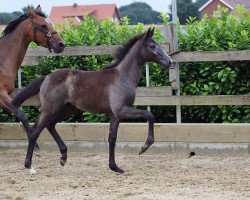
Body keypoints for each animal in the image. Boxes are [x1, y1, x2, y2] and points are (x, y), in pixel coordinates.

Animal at [0, 4, 65, 145]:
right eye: (43, 26)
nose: (62, 44)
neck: (1, 60)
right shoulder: (1, 95)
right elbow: (23, 116)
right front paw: (34, 144)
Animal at [12, 27, 173, 173]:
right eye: (152, 46)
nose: (170, 62)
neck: (122, 76)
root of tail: (47, 77)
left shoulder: (115, 115)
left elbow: (112, 139)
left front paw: (114, 167)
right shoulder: (121, 110)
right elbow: (149, 115)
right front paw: (143, 148)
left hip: (66, 110)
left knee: (50, 126)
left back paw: (63, 156)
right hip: (50, 110)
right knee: (35, 132)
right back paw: (29, 165)